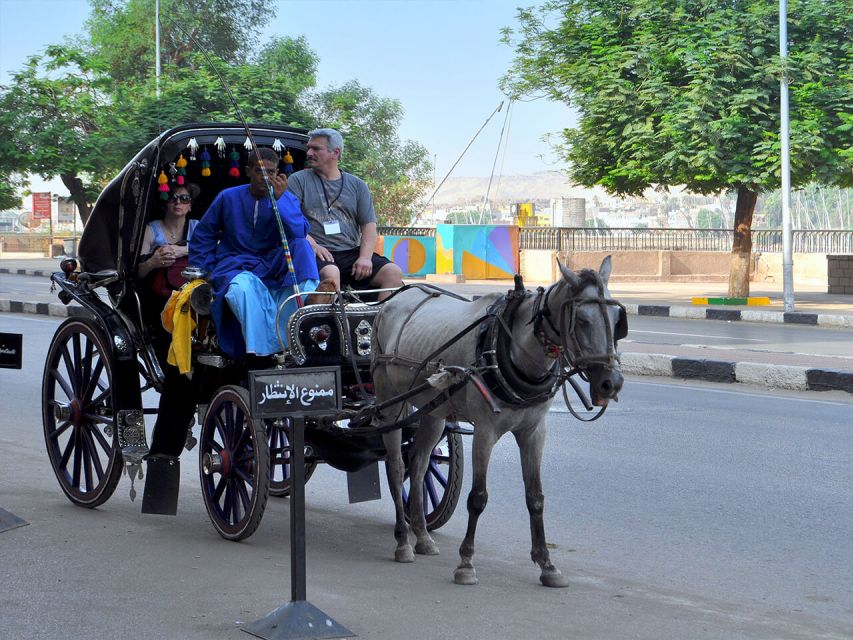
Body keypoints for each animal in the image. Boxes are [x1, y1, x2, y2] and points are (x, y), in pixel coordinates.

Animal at [370, 258, 624, 588]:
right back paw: (402, 541)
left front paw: (547, 564)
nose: (611, 383)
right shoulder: (485, 431)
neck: (513, 352)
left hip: (432, 412)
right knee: (397, 468)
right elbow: (478, 497)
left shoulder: (534, 432)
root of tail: (391, 302)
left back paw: (423, 536)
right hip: (390, 403)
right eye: (581, 320)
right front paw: (466, 563)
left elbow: (536, 497)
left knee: (420, 464)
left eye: (617, 319)